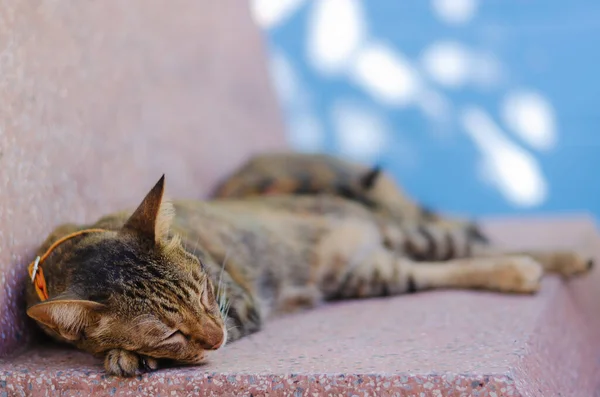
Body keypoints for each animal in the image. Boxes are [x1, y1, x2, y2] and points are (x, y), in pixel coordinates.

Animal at [25, 152, 592, 374]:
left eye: (206, 292)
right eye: (169, 331)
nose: (216, 336)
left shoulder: (239, 304)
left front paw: (127, 357)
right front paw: (128, 354)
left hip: (406, 232)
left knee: (470, 241)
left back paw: (570, 256)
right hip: (373, 275)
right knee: (453, 265)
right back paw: (519, 271)